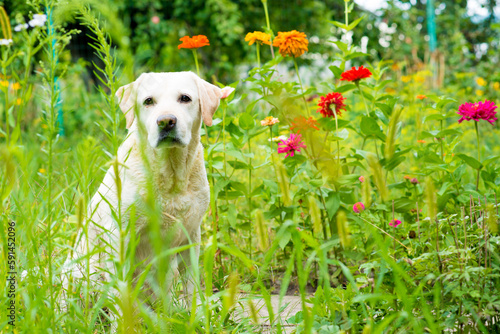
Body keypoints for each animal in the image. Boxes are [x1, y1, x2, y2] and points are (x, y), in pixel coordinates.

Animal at [66, 73, 234, 308]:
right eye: (148, 101)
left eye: (185, 98)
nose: (166, 121)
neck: (171, 176)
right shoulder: (119, 235)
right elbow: (121, 291)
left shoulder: (191, 235)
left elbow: (191, 284)